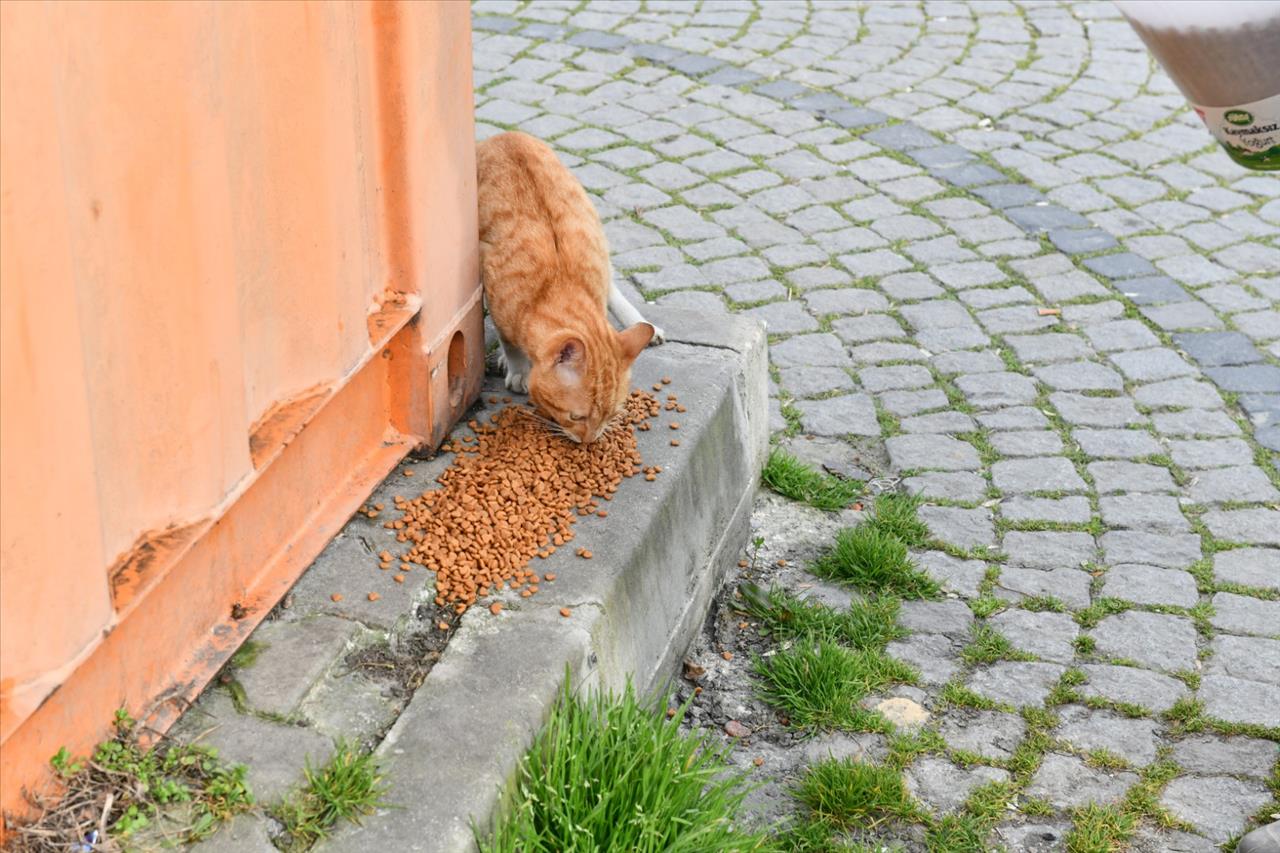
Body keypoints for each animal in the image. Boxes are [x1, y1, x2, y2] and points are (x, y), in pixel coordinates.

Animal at [476, 131, 665, 445]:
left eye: (611, 415)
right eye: (576, 417)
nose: (589, 441)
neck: (556, 285)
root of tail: (507, 135)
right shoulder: (494, 296)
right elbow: (510, 344)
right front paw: (518, 369)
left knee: (614, 288)